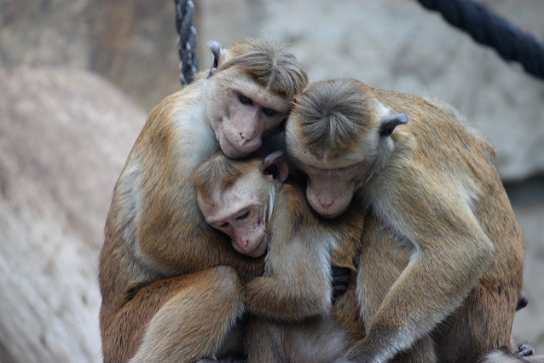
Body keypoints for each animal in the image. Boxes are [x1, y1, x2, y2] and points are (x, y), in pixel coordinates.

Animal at [99, 37, 310, 363]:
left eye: (268, 111)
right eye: (244, 100)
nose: (246, 134)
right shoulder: (177, 130)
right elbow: (162, 240)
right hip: (127, 331)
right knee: (221, 282)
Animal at [284, 79, 528, 363]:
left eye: (343, 170)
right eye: (313, 167)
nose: (325, 199)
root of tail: (499, 333)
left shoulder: (400, 174)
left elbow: (462, 249)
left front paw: (372, 346)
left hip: (472, 318)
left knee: (384, 234)